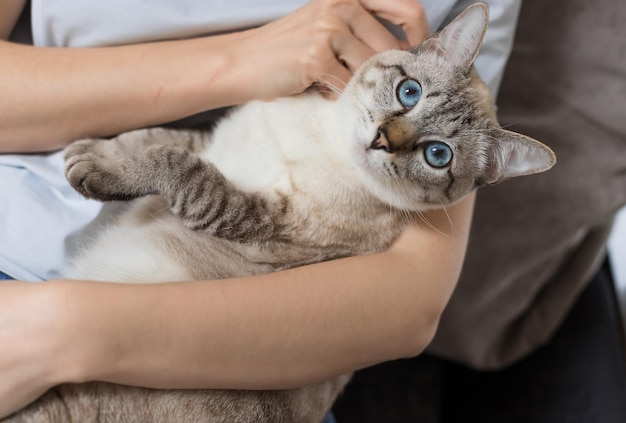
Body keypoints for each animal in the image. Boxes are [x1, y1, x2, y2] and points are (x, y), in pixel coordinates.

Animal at [2, 3, 552, 423]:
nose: (381, 139)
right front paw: (90, 153)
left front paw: (94, 172)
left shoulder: (249, 214)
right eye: (409, 92)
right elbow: (150, 138)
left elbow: (172, 162)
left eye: (437, 155)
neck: (324, 136)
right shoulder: (215, 142)